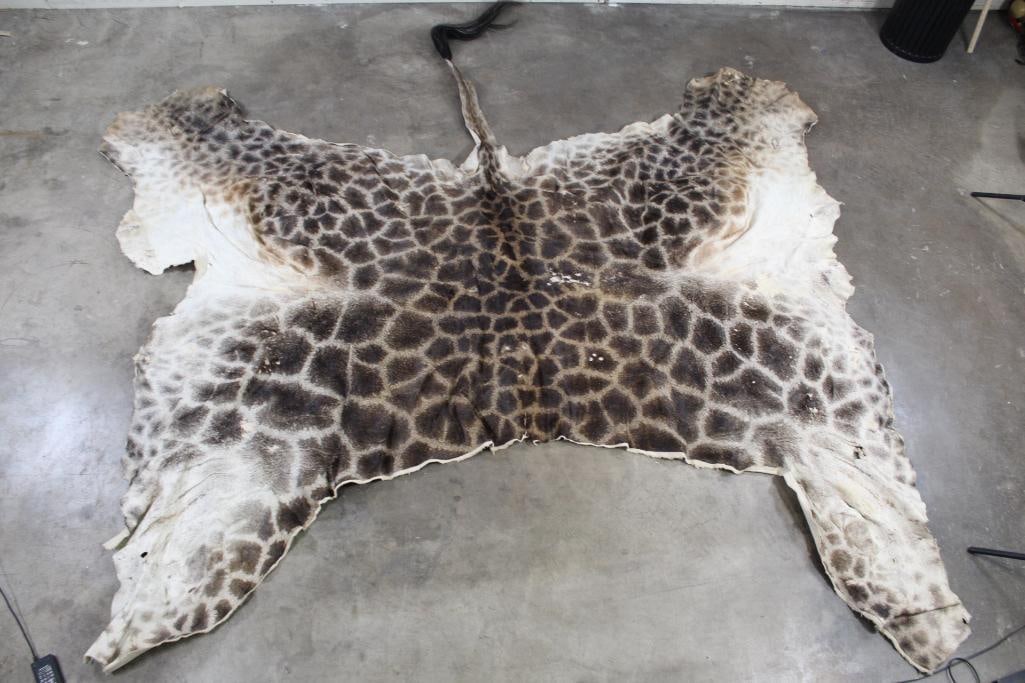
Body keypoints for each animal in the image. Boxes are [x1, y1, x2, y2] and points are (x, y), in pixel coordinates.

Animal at [86, 3, 969, 673]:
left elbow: (875, 515)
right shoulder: (256, 449)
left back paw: (753, 88)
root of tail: (496, 195)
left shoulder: (816, 418)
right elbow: (194, 563)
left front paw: (926, 619)